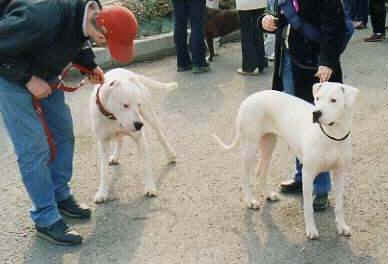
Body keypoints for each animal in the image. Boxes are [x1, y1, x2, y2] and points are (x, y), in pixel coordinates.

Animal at [90, 68, 177, 204]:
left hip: (150, 116)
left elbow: (146, 165)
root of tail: (127, 71)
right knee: (120, 140)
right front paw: (102, 193)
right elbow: (103, 171)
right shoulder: (103, 142)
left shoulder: (140, 138)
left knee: (160, 135)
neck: (112, 117)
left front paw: (150, 187)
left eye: (138, 104)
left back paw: (170, 154)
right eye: (125, 105)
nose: (139, 124)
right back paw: (115, 157)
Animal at [214, 82, 360, 239]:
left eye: (333, 100)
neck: (332, 135)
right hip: (250, 146)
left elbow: (339, 206)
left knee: (261, 171)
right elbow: (308, 207)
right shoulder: (308, 174)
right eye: (317, 98)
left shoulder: (340, 173)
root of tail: (249, 98)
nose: (316, 113)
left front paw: (342, 227)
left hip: (269, 143)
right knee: (245, 175)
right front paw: (311, 230)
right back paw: (250, 201)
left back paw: (268, 194)